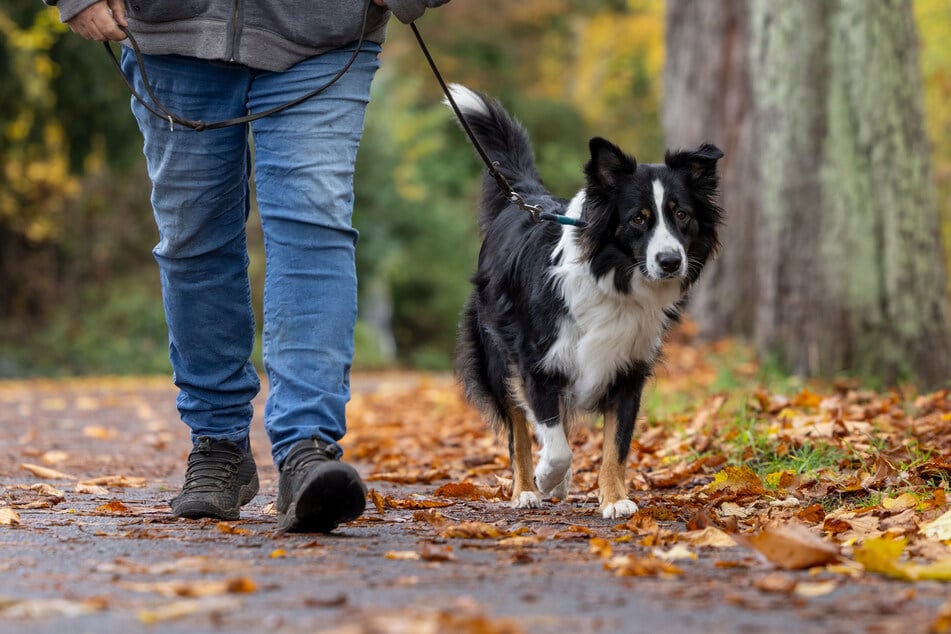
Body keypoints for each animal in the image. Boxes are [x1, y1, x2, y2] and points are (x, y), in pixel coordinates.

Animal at [450, 85, 724, 520]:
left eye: (681, 214)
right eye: (637, 218)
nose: (670, 262)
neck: (612, 279)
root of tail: (523, 198)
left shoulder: (627, 368)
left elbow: (616, 446)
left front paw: (613, 499)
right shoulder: (537, 362)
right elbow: (554, 441)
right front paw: (546, 477)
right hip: (495, 355)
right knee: (519, 430)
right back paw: (527, 489)